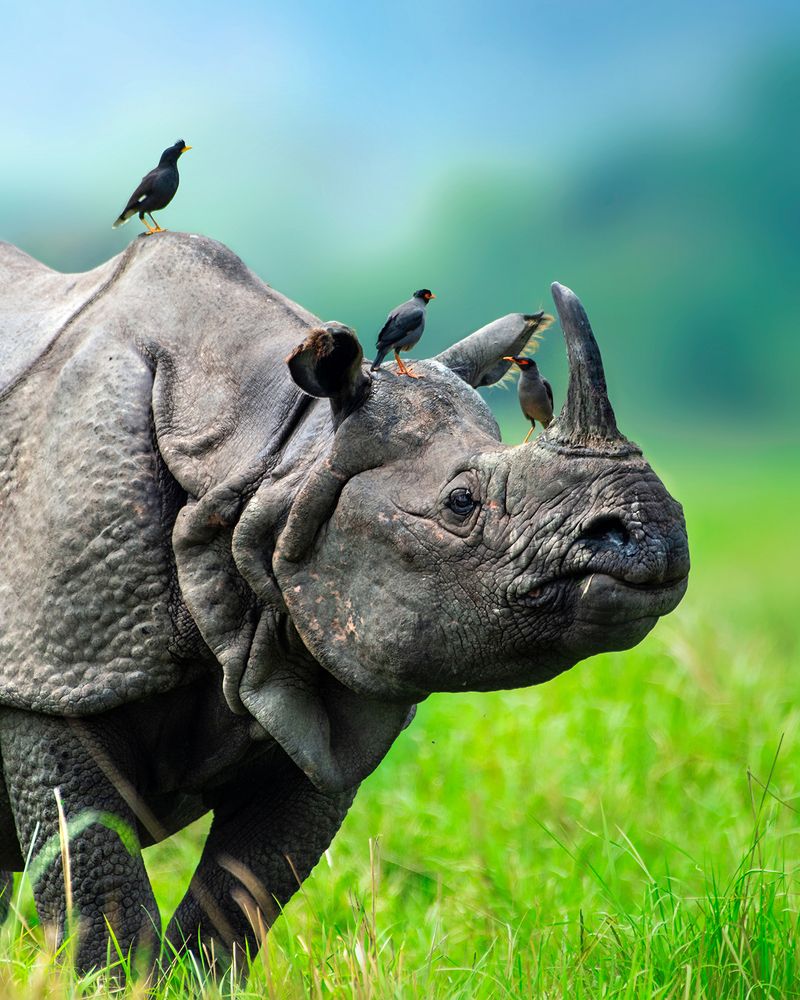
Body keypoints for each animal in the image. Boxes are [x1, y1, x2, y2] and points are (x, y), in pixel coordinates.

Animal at [0, 232, 689, 971]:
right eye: (460, 503)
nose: (653, 531)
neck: (268, 463)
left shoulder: (313, 689)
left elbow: (240, 896)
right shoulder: (50, 677)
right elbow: (98, 890)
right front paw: (114, 979)